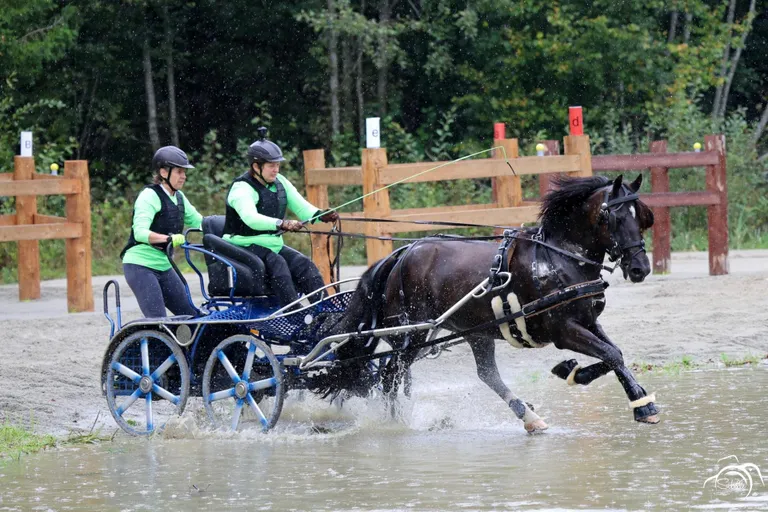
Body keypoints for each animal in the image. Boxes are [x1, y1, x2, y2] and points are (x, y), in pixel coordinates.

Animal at [316, 175, 656, 432]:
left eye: (640, 217)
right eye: (615, 217)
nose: (640, 268)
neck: (559, 258)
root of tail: (401, 254)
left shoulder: (587, 321)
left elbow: (615, 354)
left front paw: (579, 374)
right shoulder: (563, 330)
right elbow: (610, 354)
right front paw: (640, 404)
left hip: (472, 333)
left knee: (485, 374)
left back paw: (529, 418)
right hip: (411, 335)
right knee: (390, 376)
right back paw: (395, 423)